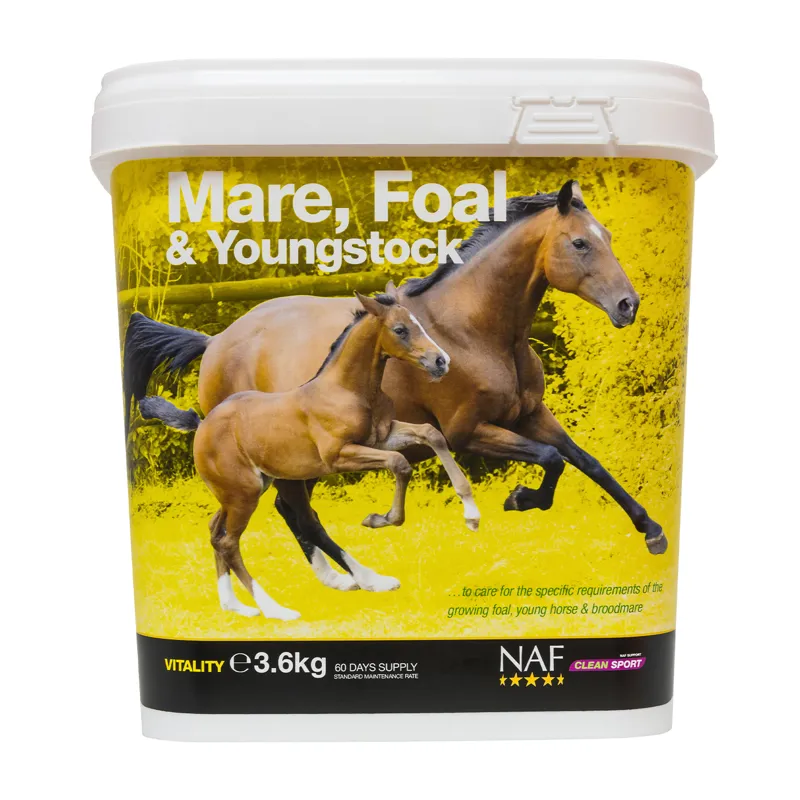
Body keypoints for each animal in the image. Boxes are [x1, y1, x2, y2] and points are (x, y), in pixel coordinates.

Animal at [138, 285, 480, 620]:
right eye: (400, 329)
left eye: (418, 322)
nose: (441, 361)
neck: (347, 390)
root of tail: (200, 423)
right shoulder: (339, 455)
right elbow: (400, 464)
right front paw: (379, 519)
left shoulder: (380, 437)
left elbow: (431, 433)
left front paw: (471, 514)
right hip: (245, 494)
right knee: (231, 541)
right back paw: (277, 608)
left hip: (241, 491)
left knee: (215, 529)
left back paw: (235, 605)